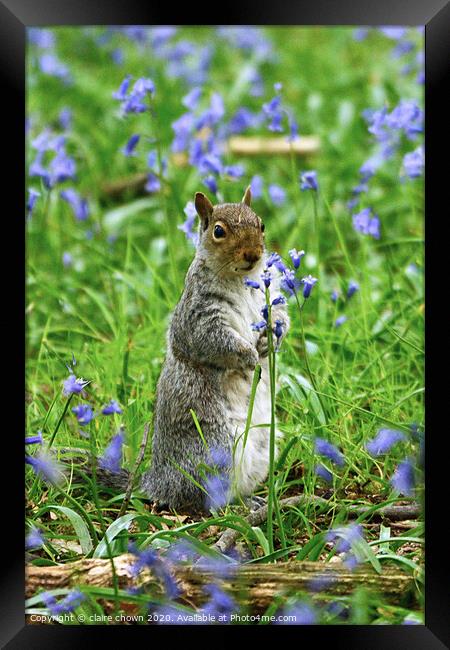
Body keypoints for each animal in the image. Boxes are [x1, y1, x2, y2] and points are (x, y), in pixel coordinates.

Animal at [96, 186, 288, 512]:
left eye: (261, 224)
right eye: (218, 231)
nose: (253, 254)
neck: (240, 278)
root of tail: (157, 481)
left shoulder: (269, 295)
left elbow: (281, 317)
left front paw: (272, 341)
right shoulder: (199, 316)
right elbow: (214, 341)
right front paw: (249, 356)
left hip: (262, 448)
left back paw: (251, 500)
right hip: (215, 446)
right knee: (202, 498)